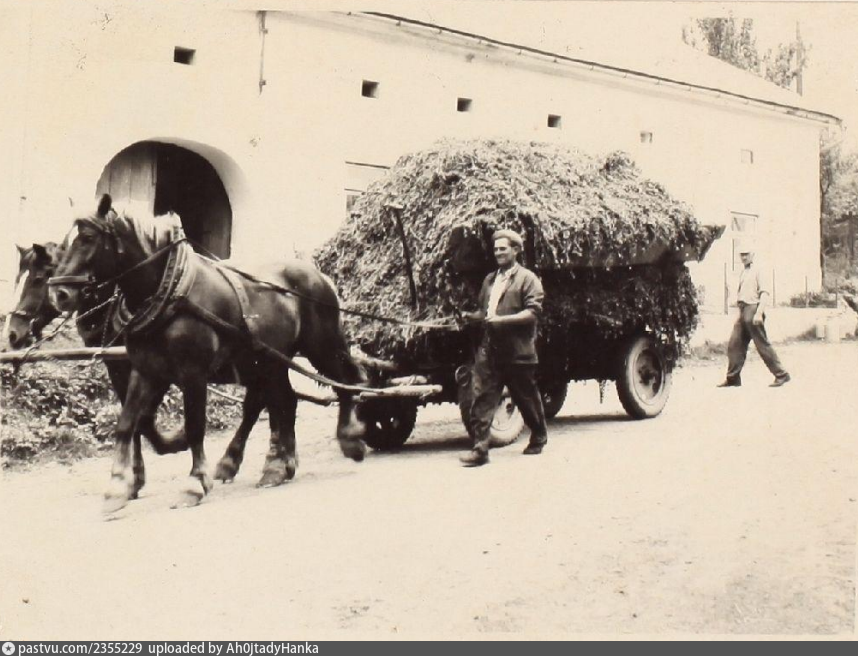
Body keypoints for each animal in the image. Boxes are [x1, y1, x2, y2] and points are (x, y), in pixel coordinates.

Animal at [49, 195, 367, 512]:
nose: (59, 294)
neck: (169, 289)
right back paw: (276, 466)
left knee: (346, 382)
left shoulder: (193, 373)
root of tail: (317, 274)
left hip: (322, 347)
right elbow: (129, 423)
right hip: (269, 361)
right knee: (283, 402)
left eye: (88, 238)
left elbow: (194, 426)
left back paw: (349, 439)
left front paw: (194, 482)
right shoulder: (146, 371)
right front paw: (118, 486)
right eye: (63, 243)